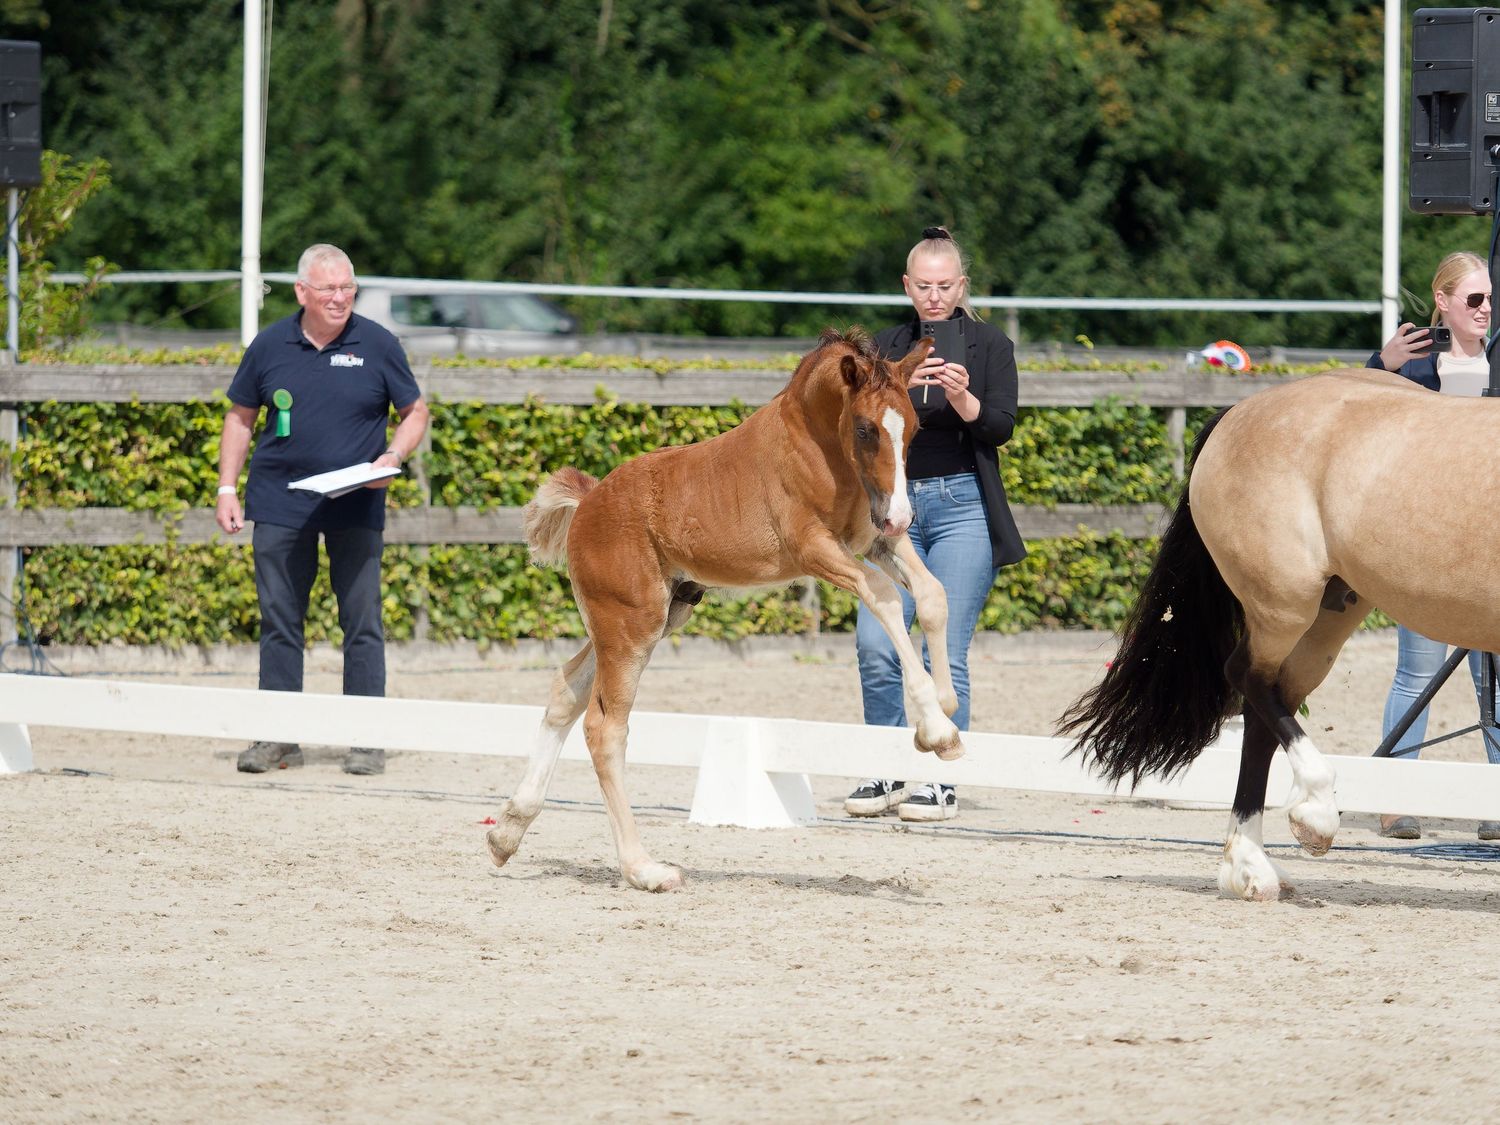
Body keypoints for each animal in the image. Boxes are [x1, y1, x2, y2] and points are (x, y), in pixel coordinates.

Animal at [488, 328, 963, 891]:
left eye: (912, 427)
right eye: (866, 428)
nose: (901, 516)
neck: (815, 445)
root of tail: (586, 503)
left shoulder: (871, 540)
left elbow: (933, 594)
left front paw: (946, 706)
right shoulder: (816, 549)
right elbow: (888, 598)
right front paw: (937, 729)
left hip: (655, 614)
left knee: (566, 690)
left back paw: (506, 833)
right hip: (631, 625)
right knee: (604, 728)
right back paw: (645, 869)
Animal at [1058, 367, 1500, 901]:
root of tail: (1240, 411)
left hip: (1332, 612)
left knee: (1269, 702)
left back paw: (1250, 865)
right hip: (1287, 604)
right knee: (1249, 680)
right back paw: (1306, 821)